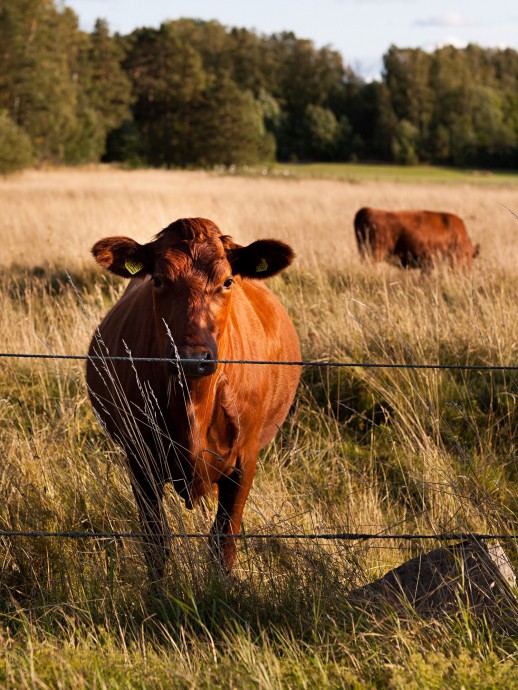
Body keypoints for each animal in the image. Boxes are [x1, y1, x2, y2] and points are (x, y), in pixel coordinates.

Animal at [87, 215, 302, 576]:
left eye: (227, 281)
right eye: (158, 280)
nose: (189, 358)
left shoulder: (245, 461)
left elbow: (223, 542)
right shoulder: (139, 459)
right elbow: (156, 542)